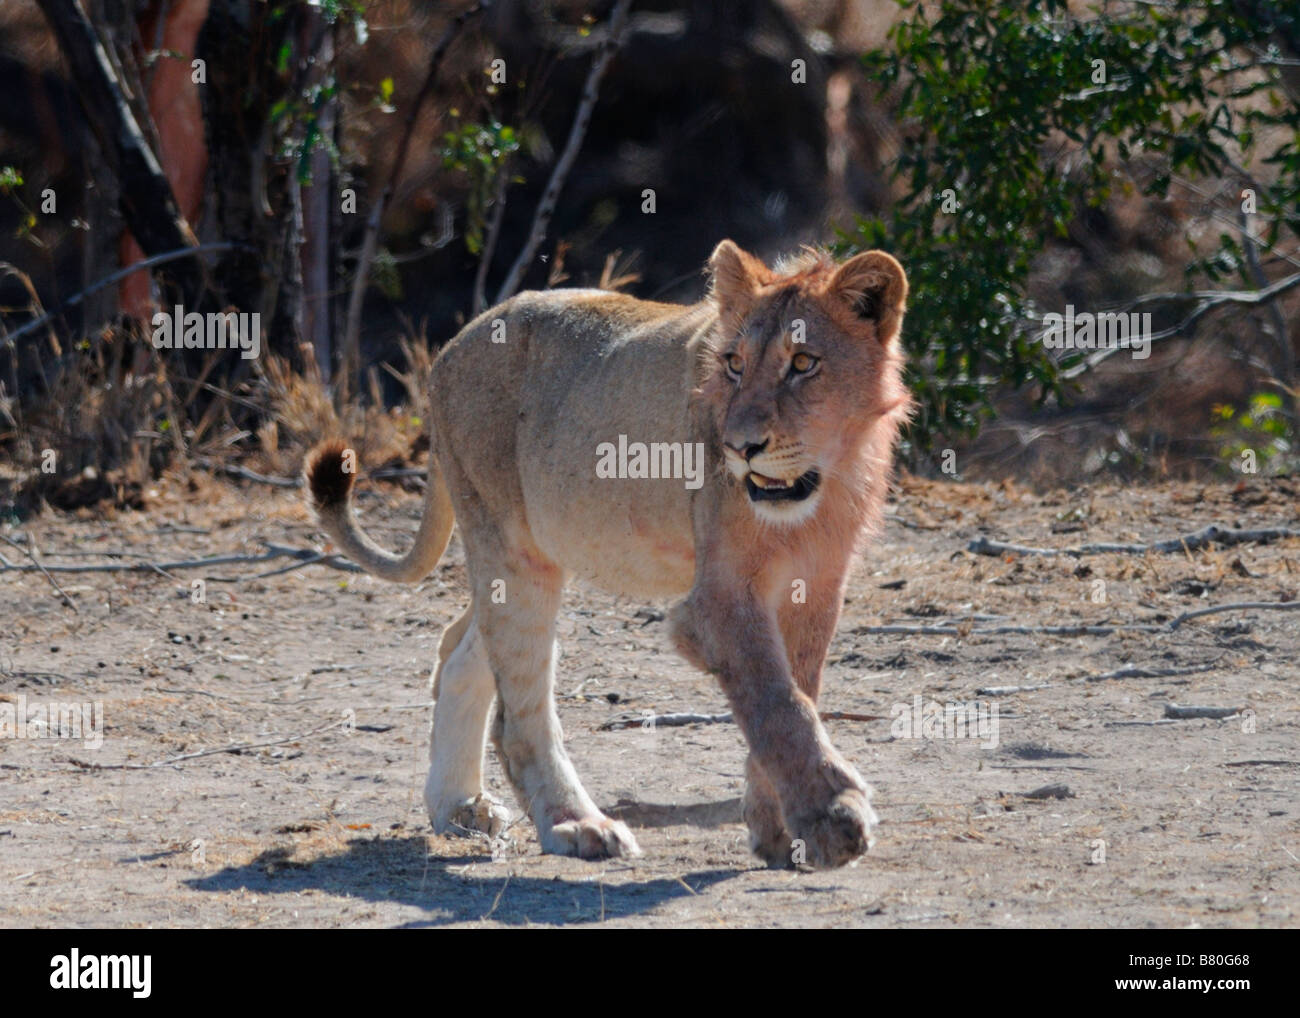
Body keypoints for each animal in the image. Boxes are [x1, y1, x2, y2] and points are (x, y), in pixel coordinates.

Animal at [305, 240, 912, 868]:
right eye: (734, 364)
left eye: (804, 363)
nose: (740, 447)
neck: (825, 482)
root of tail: (453, 345)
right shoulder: (716, 602)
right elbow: (779, 703)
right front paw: (832, 817)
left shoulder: (816, 587)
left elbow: (797, 693)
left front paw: (775, 828)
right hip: (511, 548)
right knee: (518, 715)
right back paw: (576, 824)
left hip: (528, 556)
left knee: (458, 650)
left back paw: (459, 807)